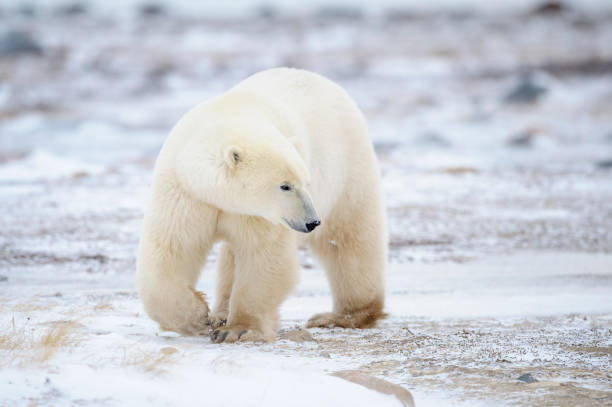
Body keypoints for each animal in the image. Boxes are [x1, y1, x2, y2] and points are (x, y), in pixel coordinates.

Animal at [137, 68, 388, 342]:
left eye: (305, 182)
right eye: (285, 186)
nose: (312, 221)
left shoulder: (259, 214)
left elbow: (264, 257)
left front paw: (237, 329)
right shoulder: (187, 193)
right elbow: (173, 248)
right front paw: (198, 318)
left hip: (348, 167)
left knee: (348, 240)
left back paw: (340, 316)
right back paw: (220, 313)